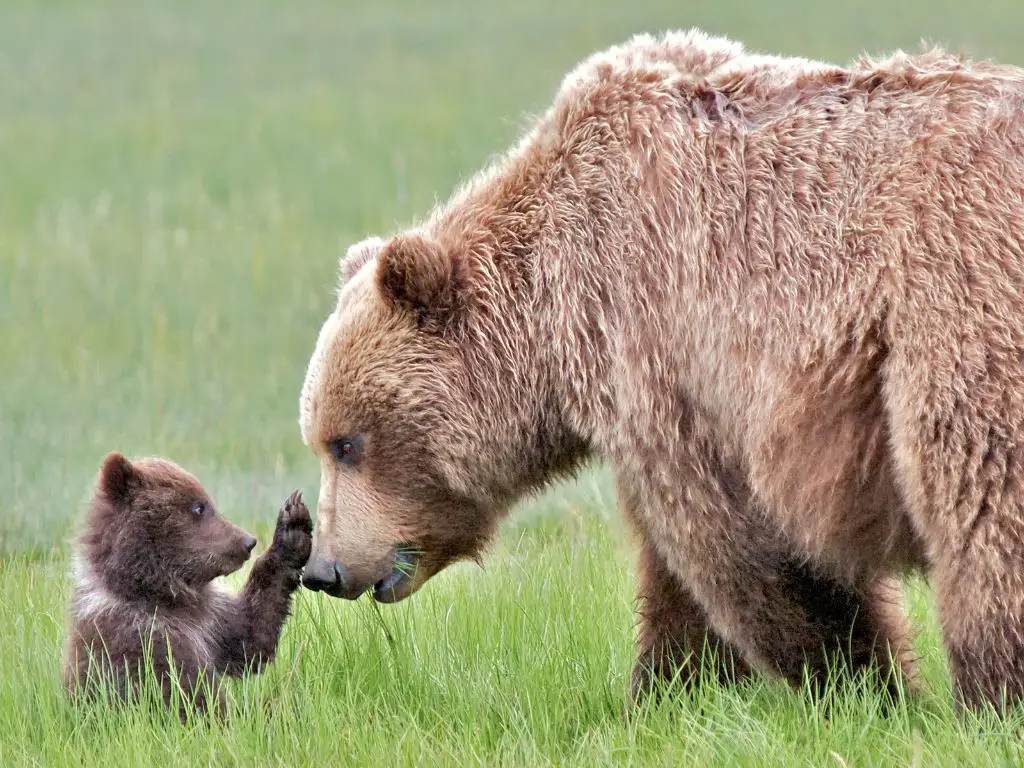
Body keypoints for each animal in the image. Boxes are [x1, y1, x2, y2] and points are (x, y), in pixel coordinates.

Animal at [299, 30, 1024, 716]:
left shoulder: (659, 339)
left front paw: (866, 686)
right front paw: (665, 691)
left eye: (348, 443)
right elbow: (679, 584)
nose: (323, 569)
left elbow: (738, 540)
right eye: (322, 441)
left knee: (980, 497)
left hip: (954, 303)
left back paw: (989, 694)